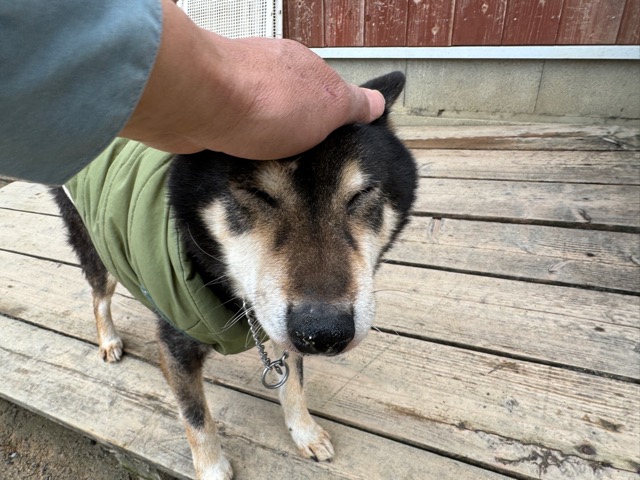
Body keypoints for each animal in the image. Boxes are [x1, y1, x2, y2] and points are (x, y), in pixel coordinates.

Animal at [51, 72, 417, 479]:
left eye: (362, 194)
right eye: (258, 194)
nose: (324, 333)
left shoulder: (280, 328)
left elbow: (294, 384)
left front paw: (304, 432)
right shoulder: (176, 346)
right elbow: (196, 419)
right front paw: (212, 469)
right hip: (94, 244)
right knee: (99, 295)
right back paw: (109, 340)